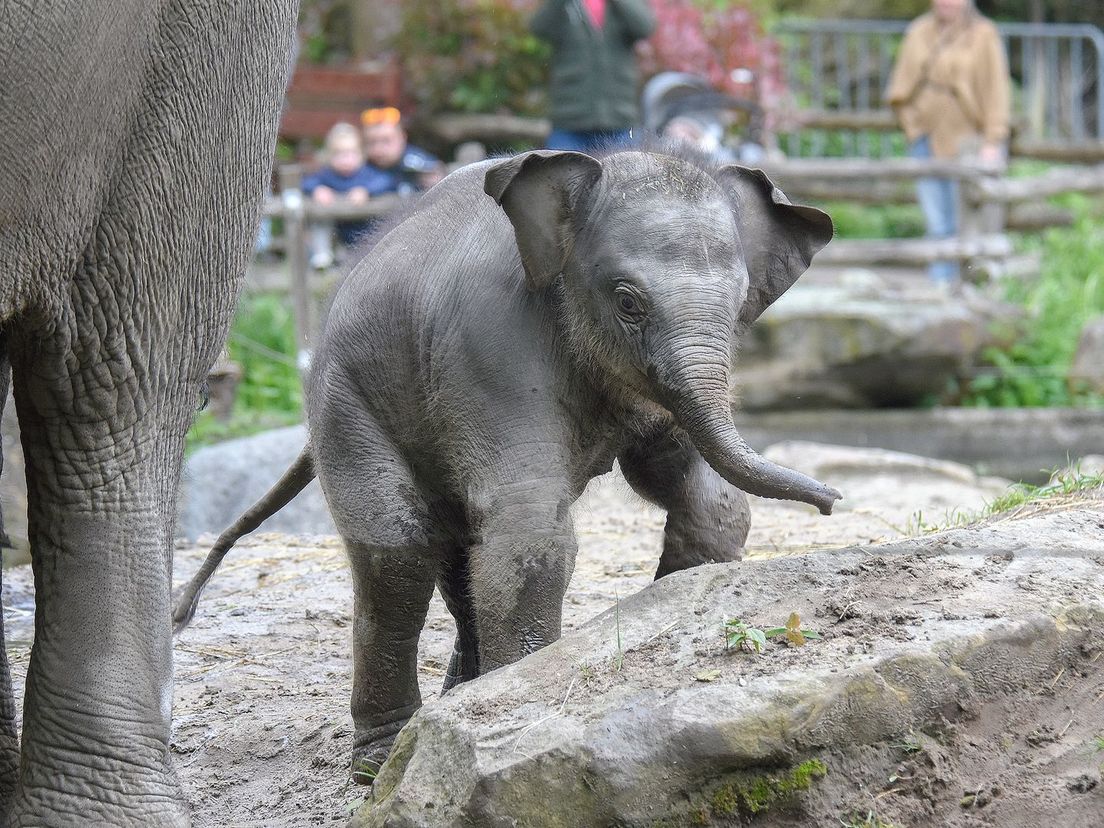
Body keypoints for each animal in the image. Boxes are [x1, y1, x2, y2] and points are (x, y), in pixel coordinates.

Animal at [174, 147, 834, 786]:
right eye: (628, 302)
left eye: (740, 303)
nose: (831, 501)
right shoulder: (490, 342)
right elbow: (528, 527)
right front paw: (513, 702)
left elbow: (690, 485)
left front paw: (672, 588)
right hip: (344, 399)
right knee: (398, 551)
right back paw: (378, 761)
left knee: (454, 547)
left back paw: (455, 695)